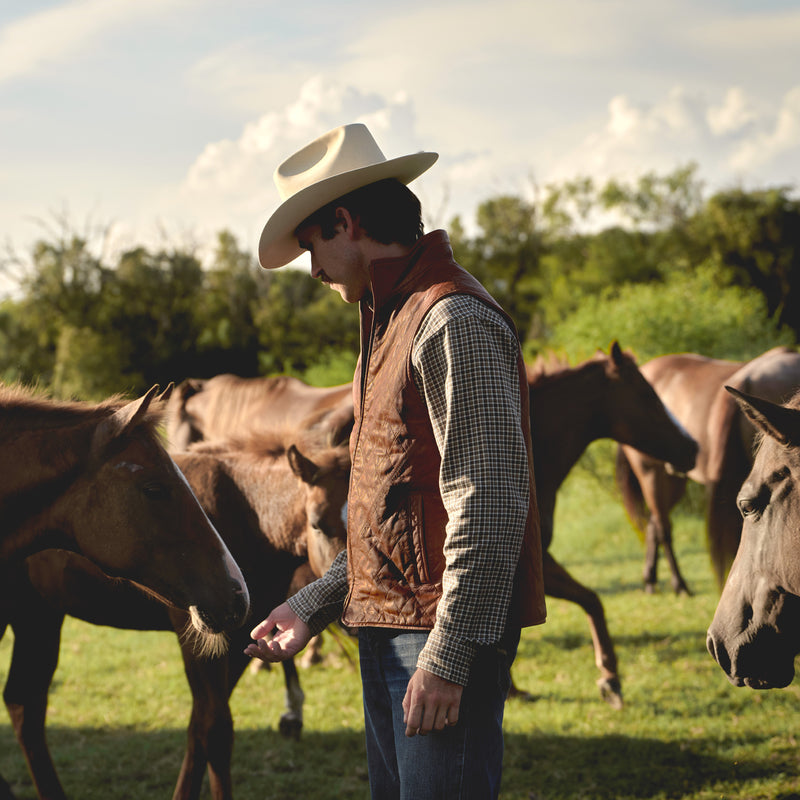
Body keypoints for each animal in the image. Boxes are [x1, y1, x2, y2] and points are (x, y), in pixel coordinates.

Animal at [2, 428, 350, 800]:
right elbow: (215, 730)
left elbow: (200, 727)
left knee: (24, 703)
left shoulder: (239, 638)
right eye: (317, 524)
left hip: (38, 616)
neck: (245, 510)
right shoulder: (197, 636)